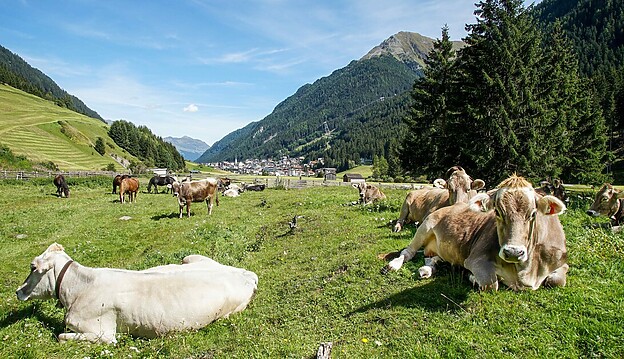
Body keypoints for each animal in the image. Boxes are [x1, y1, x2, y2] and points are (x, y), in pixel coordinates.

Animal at [15, 243, 258, 344]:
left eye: (32, 267)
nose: (18, 291)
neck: (79, 289)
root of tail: (245, 273)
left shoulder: (103, 334)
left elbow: (61, 337)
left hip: (229, 312)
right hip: (190, 257)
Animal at [382, 175, 568, 292]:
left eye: (533, 214)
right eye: (497, 212)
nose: (513, 252)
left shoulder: (562, 262)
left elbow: (557, 280)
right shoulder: (476, 258)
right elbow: (490, 284)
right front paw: (471, 277)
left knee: (431, 257)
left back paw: (427, 269)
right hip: (424, 227)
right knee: (408, 252)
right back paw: (393, 265)